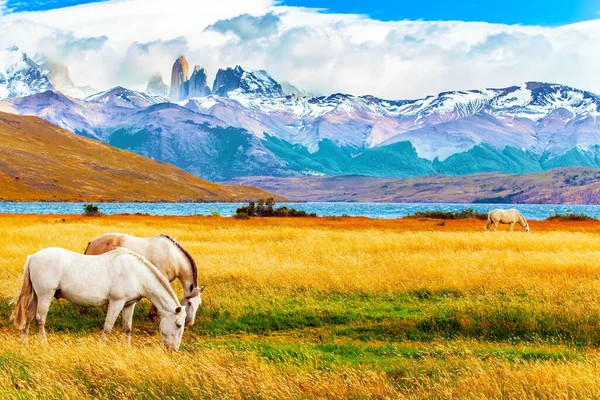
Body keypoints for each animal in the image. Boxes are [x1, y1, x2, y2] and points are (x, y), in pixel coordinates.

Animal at [13, 247, 188, 350]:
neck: (137, 274)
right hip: (45, 295)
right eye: (178, 325)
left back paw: (24, 341)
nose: (174, 350)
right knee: (40, 319)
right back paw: (44, 343)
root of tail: (33, 257)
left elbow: (127, 328)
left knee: (29, 316)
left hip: (37, 296)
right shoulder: (116, 302)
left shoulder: (129, 305)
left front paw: (128, 349)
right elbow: (107, 327)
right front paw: (101, 347)